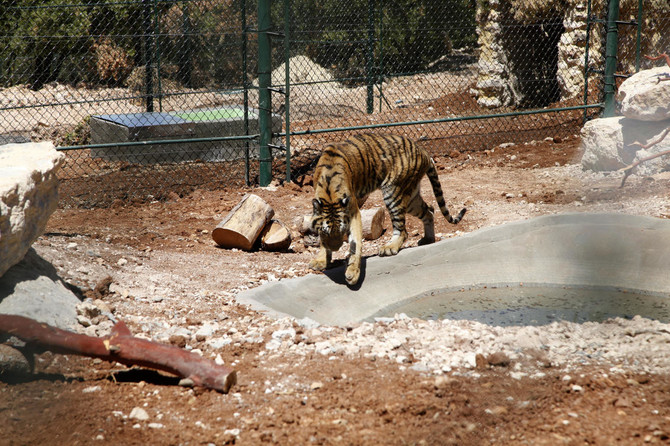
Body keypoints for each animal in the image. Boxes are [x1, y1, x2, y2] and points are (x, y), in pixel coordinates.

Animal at [310, 133, 468, 286]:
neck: (329, 194)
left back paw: (390, 247)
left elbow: (355, 243)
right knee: (429, 210)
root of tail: (423, 151)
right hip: (411, 199)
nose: (336, 249)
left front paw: (353, 274)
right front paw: (321, 260)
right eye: (327, 232)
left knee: (403, 231)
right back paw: (428, 239)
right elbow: (323, 241)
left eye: (342, 231)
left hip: (393, 192)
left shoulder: (353, 212)